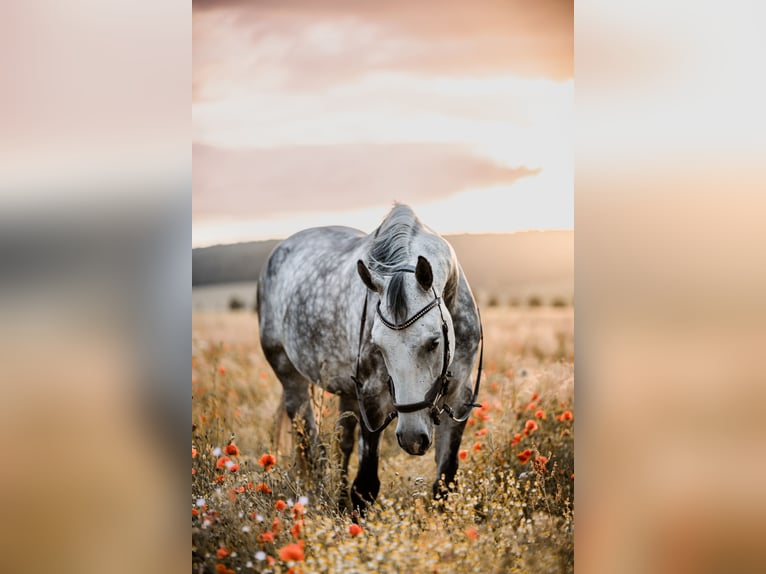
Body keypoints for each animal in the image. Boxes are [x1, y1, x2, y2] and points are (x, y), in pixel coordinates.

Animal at [258, 205, 486, 510]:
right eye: (379, 345)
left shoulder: (459, 396)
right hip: (290, 375)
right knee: (313, 447)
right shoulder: (372, 397)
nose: (412, 438)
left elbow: (444, 482)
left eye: (434, 342)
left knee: (342, 443)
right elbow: (365, 486)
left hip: (347, 391)